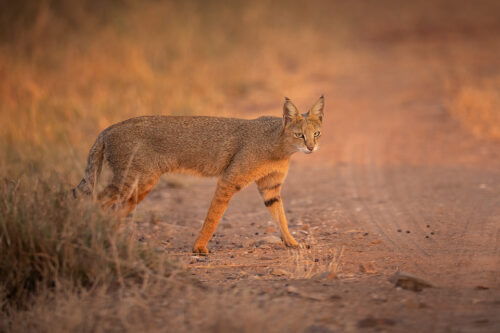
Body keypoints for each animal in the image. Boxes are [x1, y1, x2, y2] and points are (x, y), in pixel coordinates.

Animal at [74, 96, 324, 254]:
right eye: (300, 135)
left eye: (317, 134)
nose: (312, 148)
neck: (278, 146)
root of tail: (109, 128)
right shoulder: (229, 179)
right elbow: (213, 216)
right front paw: (200, 248)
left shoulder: (270, 188)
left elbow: (280, 217)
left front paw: (292, 243)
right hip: (132, 182)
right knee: (94, 201)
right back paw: (89, 231)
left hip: (139, 186)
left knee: (112, 211)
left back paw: (108, 240)